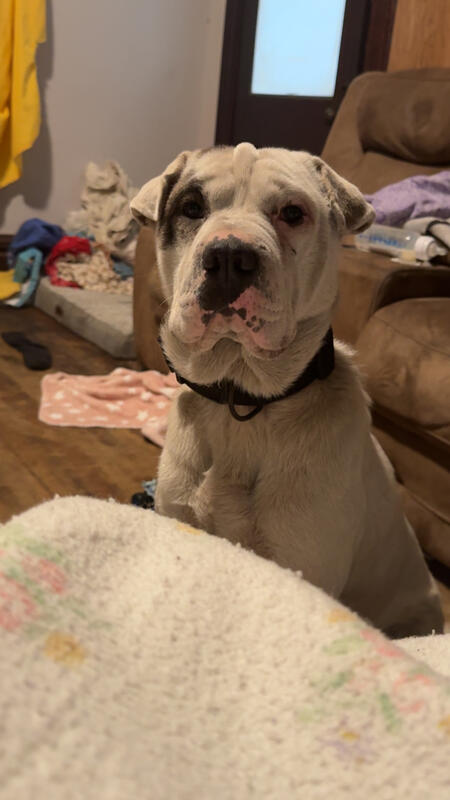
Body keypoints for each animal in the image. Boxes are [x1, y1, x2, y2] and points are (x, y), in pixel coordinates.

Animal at [131, 143, 443, 638]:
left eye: (292, 212)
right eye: (191, 208)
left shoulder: (301, 569)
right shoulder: (180, 522)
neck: (243, 400)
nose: (229, 256)